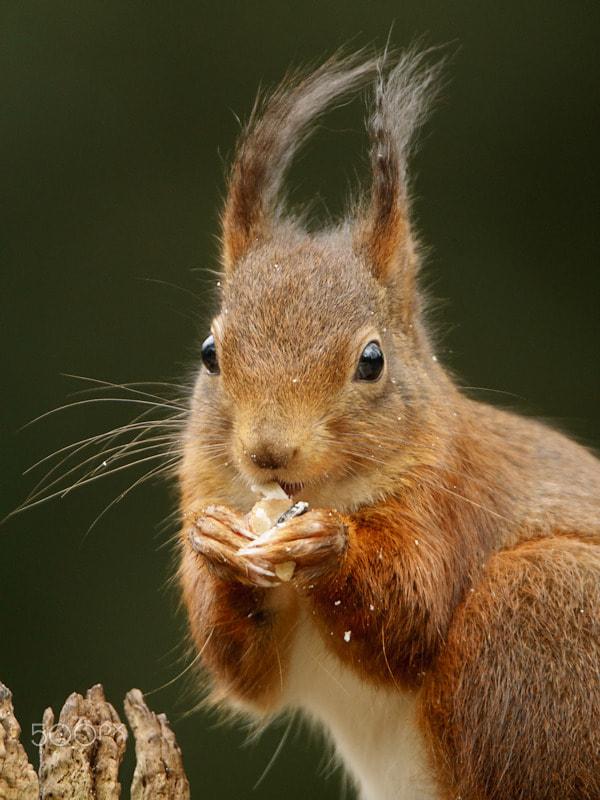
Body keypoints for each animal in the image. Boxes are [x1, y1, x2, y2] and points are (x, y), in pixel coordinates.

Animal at [177, 47, 600, 796]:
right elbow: (243, 669)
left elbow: (410, 614)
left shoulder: (451, 494)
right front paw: (218, 545)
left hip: (542, 609)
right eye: (209, 353)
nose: (268, 453)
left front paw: (328, 544)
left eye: (372, 360)